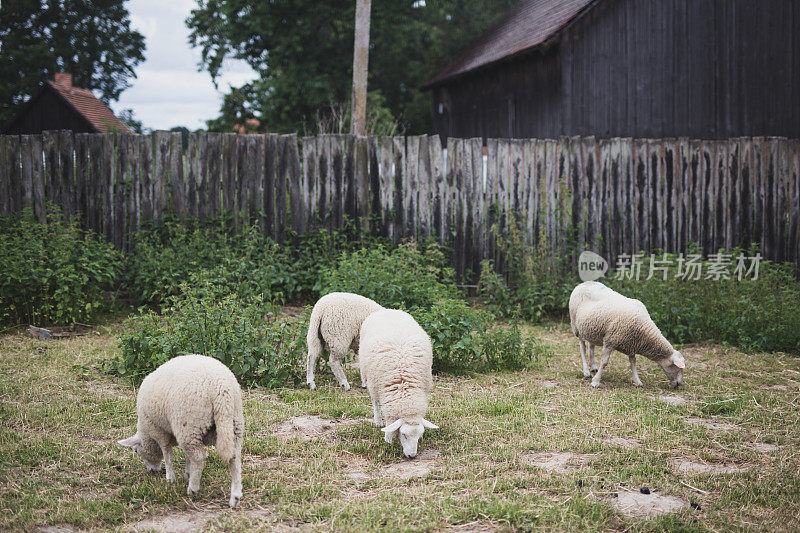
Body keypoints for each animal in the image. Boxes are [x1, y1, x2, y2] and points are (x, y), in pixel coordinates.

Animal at [117, 354, 244, 508]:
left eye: (136, 451)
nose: (152, 471)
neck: (146, 432)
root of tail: (222, 390)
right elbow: (187, 457)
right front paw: (187, 473)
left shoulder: (159, 431)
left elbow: (167, 453)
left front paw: (170, 478)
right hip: (232, 424)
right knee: (234, 457)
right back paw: (235, 497)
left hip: (189, 423)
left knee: (199, 457)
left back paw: (193, 489)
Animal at [360, 308, 440, 458]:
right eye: (404, 434)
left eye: (419, 435)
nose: (411, 456)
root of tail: (387, 310)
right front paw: (388, 439)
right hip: (369, 379)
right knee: (374, 401)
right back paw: (378, 421)